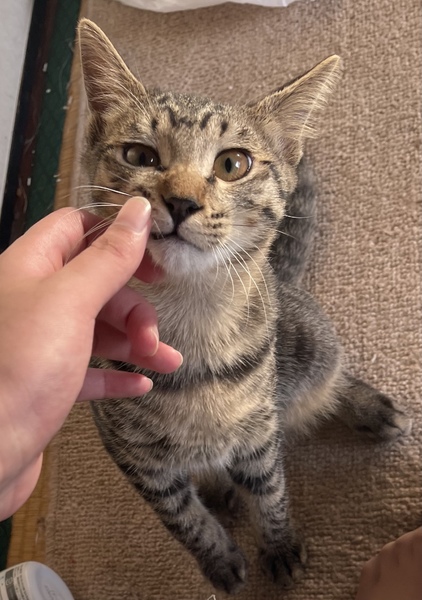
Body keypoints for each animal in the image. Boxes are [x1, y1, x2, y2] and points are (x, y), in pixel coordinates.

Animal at [77, 18, 412, 594]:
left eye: (233, 163)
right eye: (140, 156)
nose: (181, 201)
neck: (188, 321)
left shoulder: (259, 432)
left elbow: (272, 493)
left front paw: (278, 544)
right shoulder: (136, 458)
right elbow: (183, 519)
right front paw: (218, 559)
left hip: (311, 341)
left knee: (327, 379)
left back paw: (366, 405)